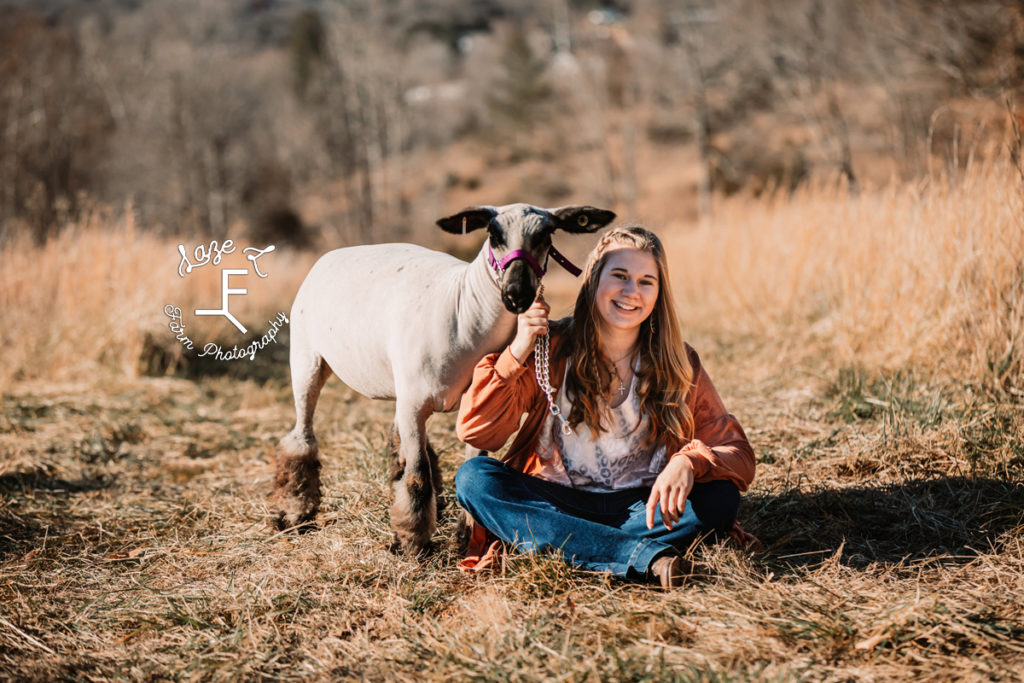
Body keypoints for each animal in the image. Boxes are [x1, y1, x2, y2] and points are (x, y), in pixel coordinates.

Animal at [272, 202, 614, 557]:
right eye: (493, 233)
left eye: (547, 235)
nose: (517, 294)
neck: (465, 313)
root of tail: (332, 254)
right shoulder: (414, 404)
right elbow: (417, 476)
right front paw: (414, 545)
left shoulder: (471, 407)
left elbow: (469, 462)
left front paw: (464, 536)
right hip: (307, 358)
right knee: (302, 436)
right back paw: (294, 513)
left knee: (397, 443)